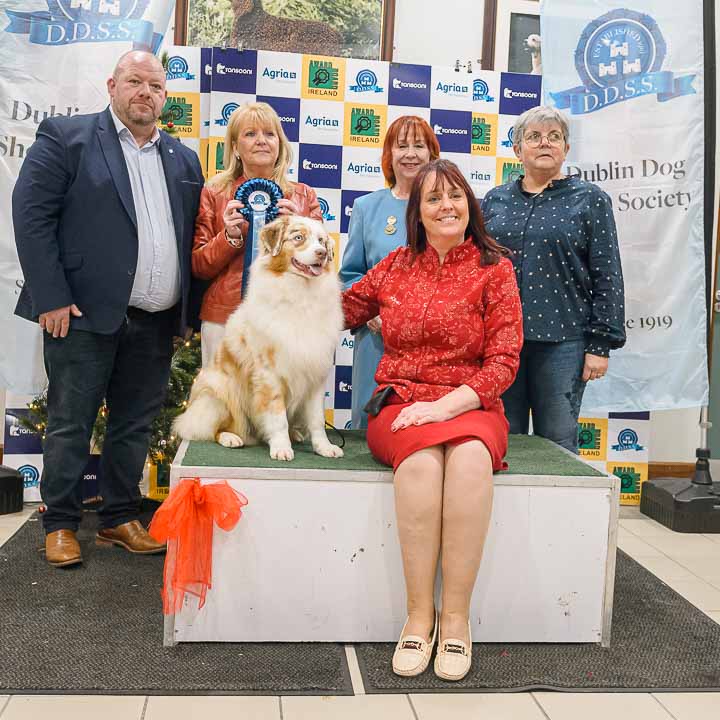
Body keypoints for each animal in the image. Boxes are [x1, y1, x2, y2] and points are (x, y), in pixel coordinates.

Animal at [174, 216, 344, 461]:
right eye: (298, 237)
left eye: (321, 240)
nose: (321, 253)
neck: (301, 293)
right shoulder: (269, 374)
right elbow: (277, 417)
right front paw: (281, 447)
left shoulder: (315, 373)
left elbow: (317, 420)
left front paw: (324, 447)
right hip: (218, 394)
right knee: (212, 428)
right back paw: (231, 437)